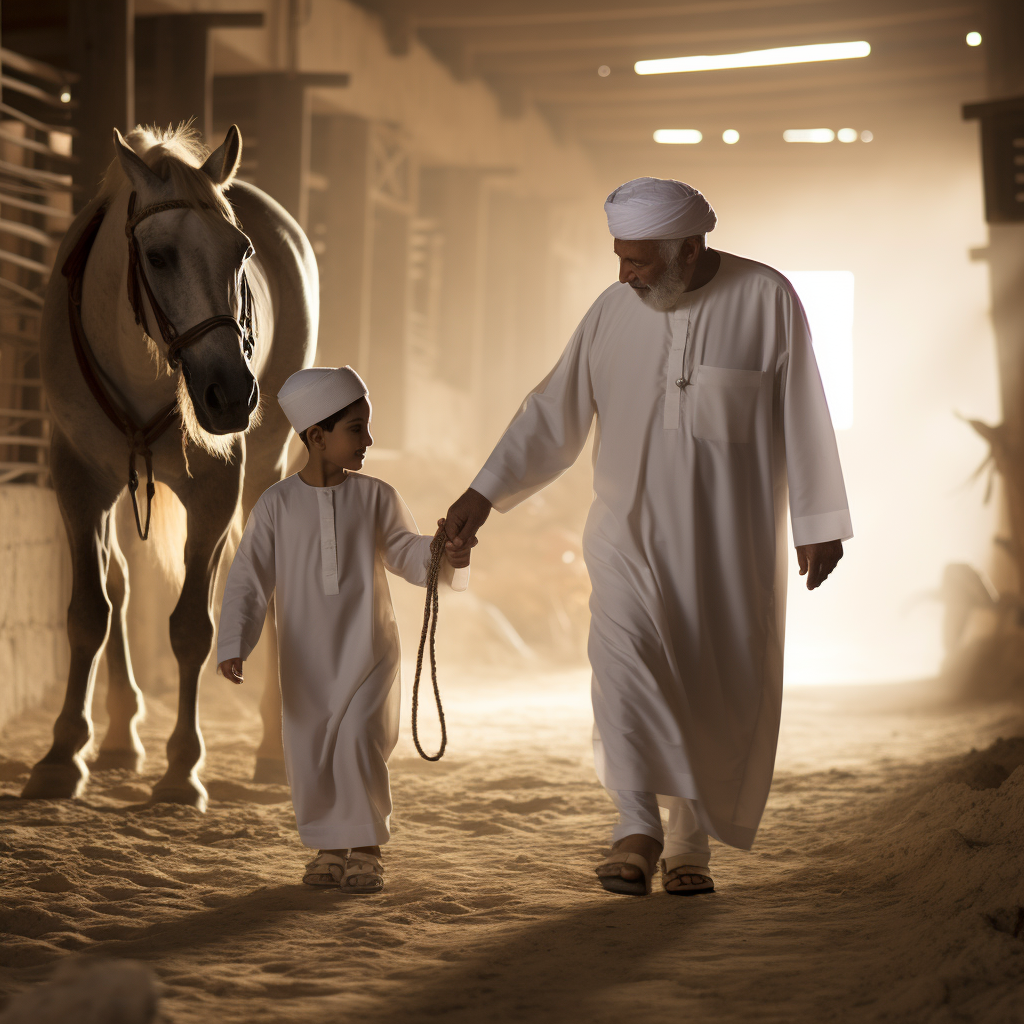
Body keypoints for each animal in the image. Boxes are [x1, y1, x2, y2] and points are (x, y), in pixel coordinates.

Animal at [22, 125, 313, 806]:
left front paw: (182, 768)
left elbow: (190, 629)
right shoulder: (78, 479)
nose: (231, 394)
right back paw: (120, 736)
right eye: (157, 257)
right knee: (120, 583)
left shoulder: (215, 490)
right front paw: (62, 754)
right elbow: (89, 612)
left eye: (241, 252)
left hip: (266, 466)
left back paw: (271, 749)